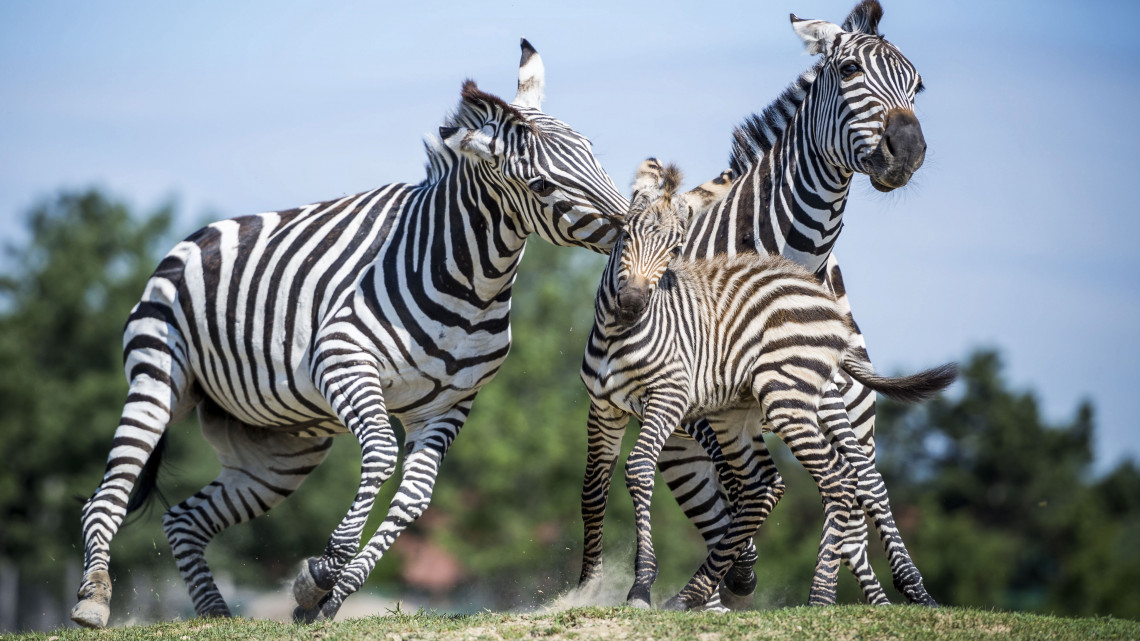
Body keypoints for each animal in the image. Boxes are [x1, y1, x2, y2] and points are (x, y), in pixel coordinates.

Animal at [68, 37, 633, 625]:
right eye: (541, 184)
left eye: (594, 151)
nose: (635, 229)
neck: (470, 282)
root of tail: (197, 235)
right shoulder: (344, 361)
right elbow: (381, 453)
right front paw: (322, 570)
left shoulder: (450, 404)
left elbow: (415, 498)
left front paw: (327, 598)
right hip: (158, 379)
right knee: (106, 493)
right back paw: (93, 599)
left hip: (279, 450)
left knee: (184, 518)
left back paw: (216, 614)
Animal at [579, 157, 953, 606]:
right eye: (625, 234)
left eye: (675, 249)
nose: (632, 304)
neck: (618, 334)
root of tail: (823, 297)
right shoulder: (603, 408)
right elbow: (593, 490)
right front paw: (584, 588)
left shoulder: (669, 398)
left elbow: (637, 469)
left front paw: (640, 585)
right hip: (737, 414)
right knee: (768, 486)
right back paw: (695, 592)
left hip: (790, 399)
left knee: (844, 481)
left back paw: (823, 597)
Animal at [652, 1, 934, 602]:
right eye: (848, 70)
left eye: (918, 85)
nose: (908, 151)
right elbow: (744, 482)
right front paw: (739, 566)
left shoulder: (827, 397)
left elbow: (854, 486)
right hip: (687, 444)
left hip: (850, 403)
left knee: (863, 486)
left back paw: (897, 590)